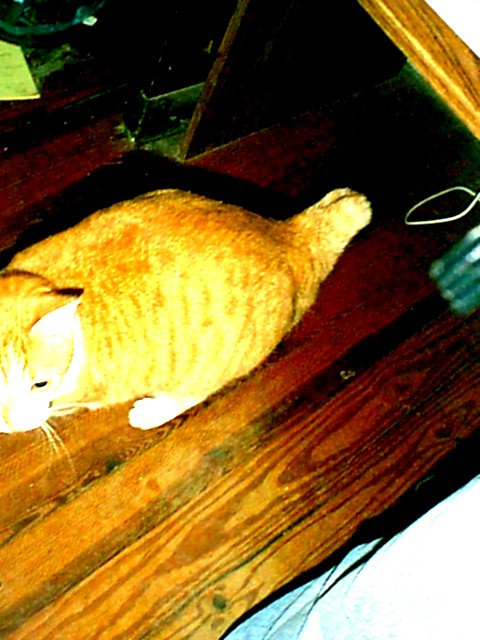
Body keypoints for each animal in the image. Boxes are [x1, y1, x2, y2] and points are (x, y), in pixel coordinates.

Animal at [0, 187, 371, 433]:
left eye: (41, 384)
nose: (13, 424)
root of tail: (288, 237)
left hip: (208, 367)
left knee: (193, 393)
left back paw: (152, 412)